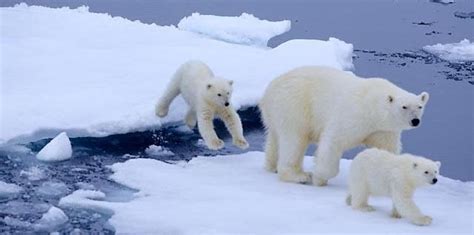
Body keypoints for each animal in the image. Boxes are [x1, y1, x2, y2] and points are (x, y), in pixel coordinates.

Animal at [260, 65, 430, 185]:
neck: (372, 106)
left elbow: (385, 149)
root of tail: (269, 89)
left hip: (276, 113)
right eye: (404, 107)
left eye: (419, 106)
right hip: (294, 105)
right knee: (294, 140)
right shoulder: (353, 115)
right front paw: (319, 177)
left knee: (275, 138)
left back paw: (272, 166)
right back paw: (298, 175)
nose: (415, 121)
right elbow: (333, 141)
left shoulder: (383, 130)